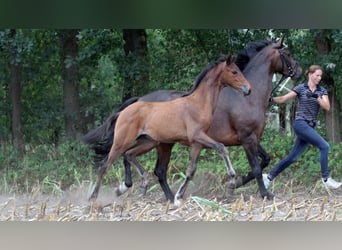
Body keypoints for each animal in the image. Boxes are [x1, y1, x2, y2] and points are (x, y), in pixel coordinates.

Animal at [89, 54, 252, 201]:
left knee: (129, 154)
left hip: (148, 141)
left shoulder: (197, 143)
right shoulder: (197, 135)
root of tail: (122, 112)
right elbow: (221, 148)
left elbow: (191, 170)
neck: (198, 103)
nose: (248, 89)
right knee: (105, 165)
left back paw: (141, 185)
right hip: (122, 141)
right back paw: (93, 197)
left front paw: (178, 196)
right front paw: (231, 182)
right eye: (234, 71)